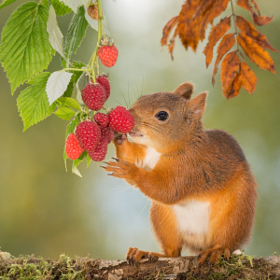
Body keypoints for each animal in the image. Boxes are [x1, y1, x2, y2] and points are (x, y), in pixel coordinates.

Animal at [104, 82, 258, 264]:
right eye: (141, 98)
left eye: (162, 115)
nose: (128, 117)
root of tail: (200, 242)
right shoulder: (146, 154)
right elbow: (132, 156)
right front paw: (118, 136)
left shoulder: (190, 168)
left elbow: (168, 190)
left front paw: (130, 170)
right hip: (163, 219)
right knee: (173, 252)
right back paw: (145, 253)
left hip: (236, 212)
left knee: (226, 239)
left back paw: (216, 251)